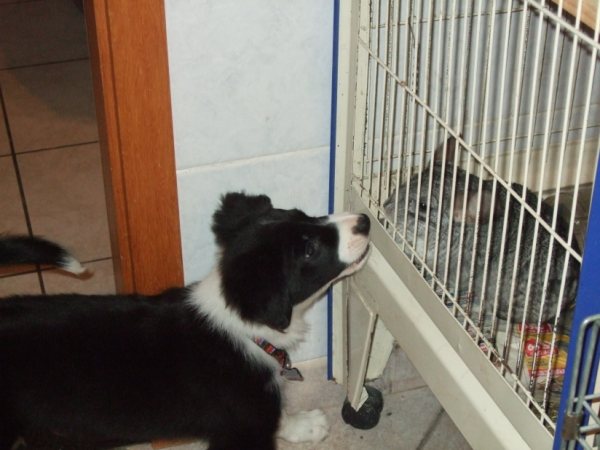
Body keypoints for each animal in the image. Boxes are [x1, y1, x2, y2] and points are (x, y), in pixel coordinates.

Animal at [0, 192, 371, 450]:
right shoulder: (241, 425)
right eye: (309, 250)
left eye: (304, 215)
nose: (365, 220)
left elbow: (278, 417)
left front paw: (304, 426)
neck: (245, 327)